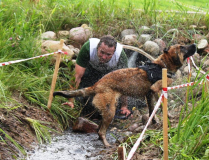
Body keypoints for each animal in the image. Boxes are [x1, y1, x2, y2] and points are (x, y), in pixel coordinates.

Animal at [53, 43, 196, 147]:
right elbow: (161, 104)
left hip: (107, 110)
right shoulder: (156, 88)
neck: (162, 65)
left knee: (99, 130)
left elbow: (153, 110)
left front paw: (157, 121)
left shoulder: (150, 94)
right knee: (101, 131)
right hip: (110, 111)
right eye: (182, 47)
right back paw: (107, 145)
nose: (194, 44)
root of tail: (97, 85)